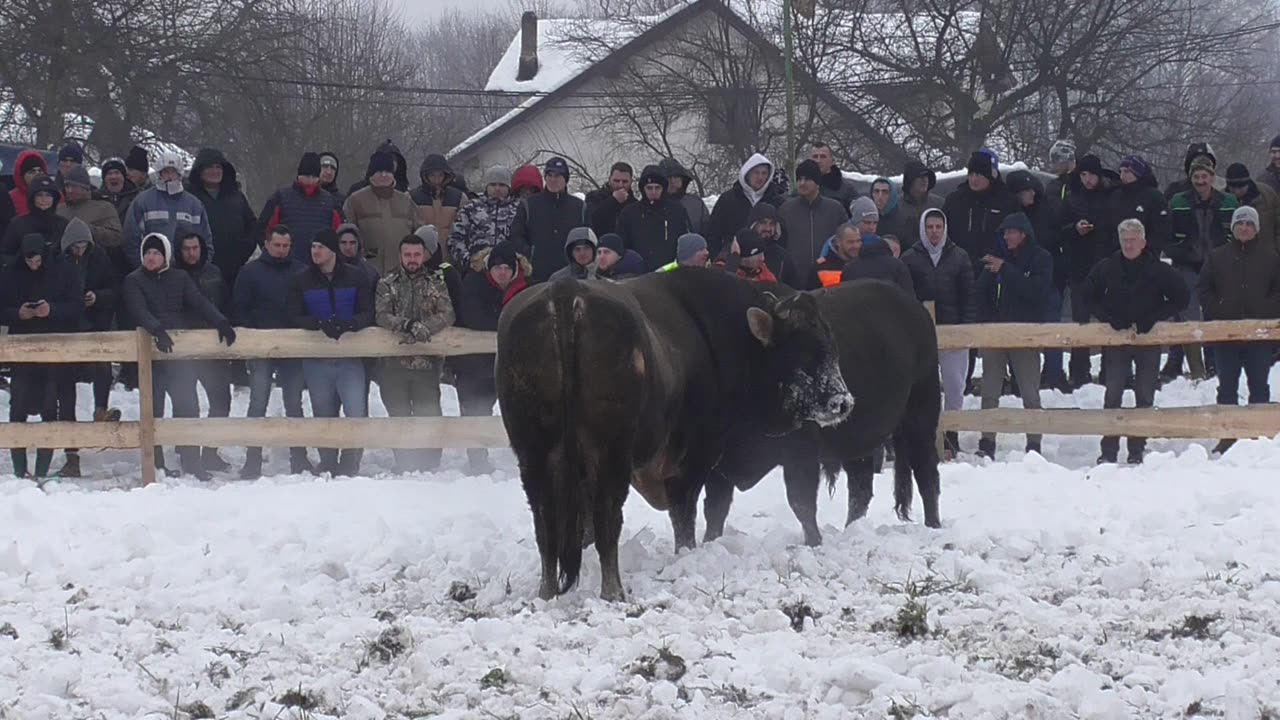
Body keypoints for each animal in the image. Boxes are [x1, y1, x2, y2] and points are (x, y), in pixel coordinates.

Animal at [494, 269, 855, 599]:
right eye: (804, 348)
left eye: (831, 343)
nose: (843, 402)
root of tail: (566, 291)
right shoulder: (694, 460)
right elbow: (689, 516)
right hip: (610, 455)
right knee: (606, 517)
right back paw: (614, 591)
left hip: (535, 455)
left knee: (546, 522)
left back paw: (547, 591)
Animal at [706, 278, 947, 540]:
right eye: (801, 350)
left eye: (832, 347)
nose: (842, 403)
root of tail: (917, 310)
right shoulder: (717, 463)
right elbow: (715, 509)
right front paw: (710, 540)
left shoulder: (801, 453)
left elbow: (801, 502)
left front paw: (814, 541)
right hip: (859, 442)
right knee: (860, 488)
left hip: (920, 417)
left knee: (926, 473)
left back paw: (933, 525)